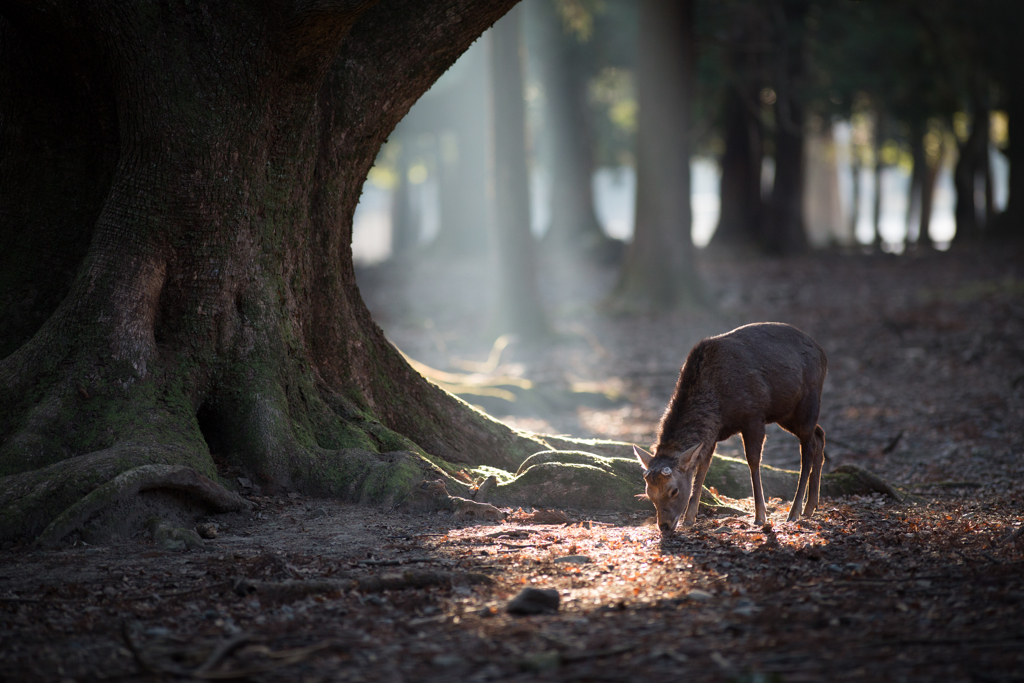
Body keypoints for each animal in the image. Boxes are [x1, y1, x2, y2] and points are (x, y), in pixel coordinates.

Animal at [634, 323, 827, 536]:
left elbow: (753, 461)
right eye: (648, 493)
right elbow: (703, 466)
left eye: (673, 490)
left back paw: (795, 511)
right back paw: (811, 506)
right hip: (787, 413)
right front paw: (690, 518)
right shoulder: (712, 434)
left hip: (808, 401)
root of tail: (822, 353)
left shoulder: (754, 415)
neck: (717, 406)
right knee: (819, 435)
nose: (664, 526)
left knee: (807, 450)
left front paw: (760, 516)